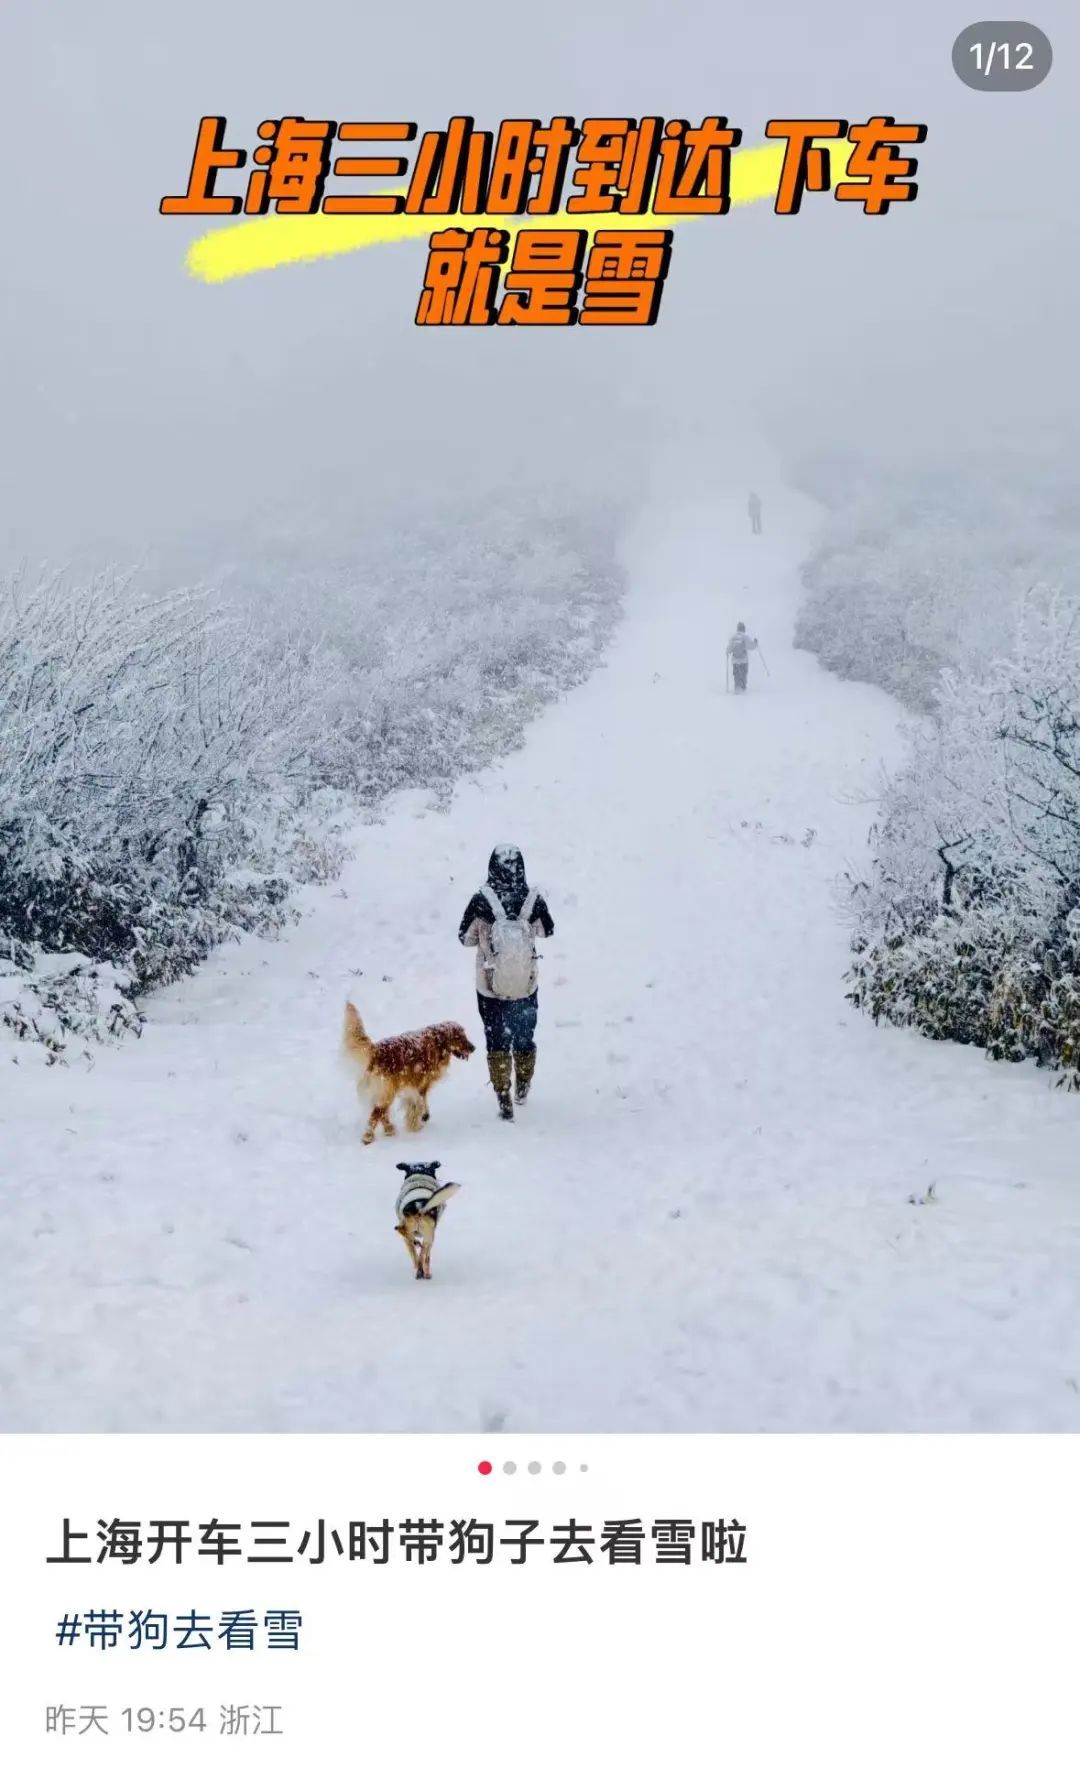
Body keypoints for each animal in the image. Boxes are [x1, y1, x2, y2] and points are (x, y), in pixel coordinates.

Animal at [392, 1159, 459, 1287]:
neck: (420, 1176)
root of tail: (419, 1209)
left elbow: (417, 1256)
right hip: (429, 1237)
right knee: (424, 1255)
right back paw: (426, 1273)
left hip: (417, 1235)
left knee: (416, 1251)